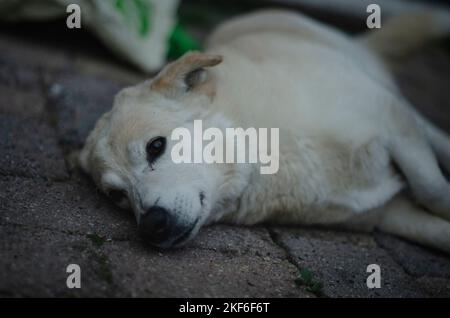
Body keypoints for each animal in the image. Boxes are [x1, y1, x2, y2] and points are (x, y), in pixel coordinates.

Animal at [77, 9, 450, 252]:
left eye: (155, 146)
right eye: (117, 196)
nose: (151, 226)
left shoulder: (391, 120)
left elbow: (434, 191)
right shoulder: (386, 216)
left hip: (394, 102)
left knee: (432, 133)